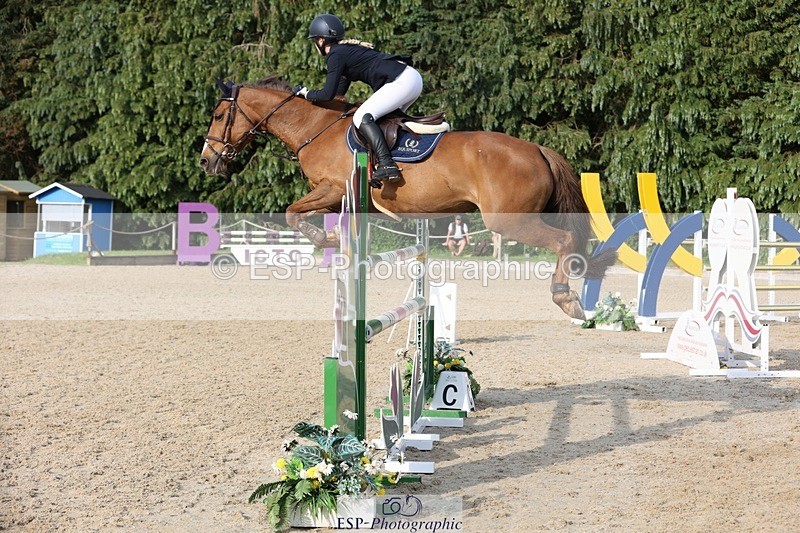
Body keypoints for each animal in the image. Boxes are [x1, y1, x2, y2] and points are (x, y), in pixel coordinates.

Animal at [199, 76, 615, 320]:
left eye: (219, 115)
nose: (206, 161)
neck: (316, 127)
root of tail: (537, 149)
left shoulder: (334, 188)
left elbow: (292, 213)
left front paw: (326, 239)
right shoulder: (337, 198)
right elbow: (302, 215)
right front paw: (332, 238)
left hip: (508, 220)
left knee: (564, 241)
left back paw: (565, 298)